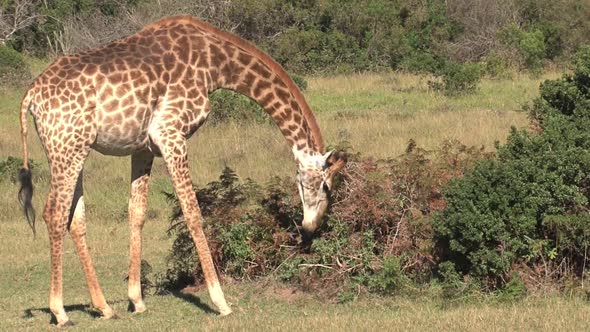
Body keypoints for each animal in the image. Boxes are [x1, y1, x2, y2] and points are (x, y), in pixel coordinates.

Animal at [17, 15, 346, 326]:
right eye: (326, 186)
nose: (311, 227)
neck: (216, 64)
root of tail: (30, 95)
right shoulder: (170, 133)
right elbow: (193, 213)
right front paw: (220, 301)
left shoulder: (144, 146)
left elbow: (137, 213)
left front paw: (136, 300)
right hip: (67, 149)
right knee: (54, 214)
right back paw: (60, 312)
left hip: (73, 150)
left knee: (75, 218)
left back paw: (104, 307)